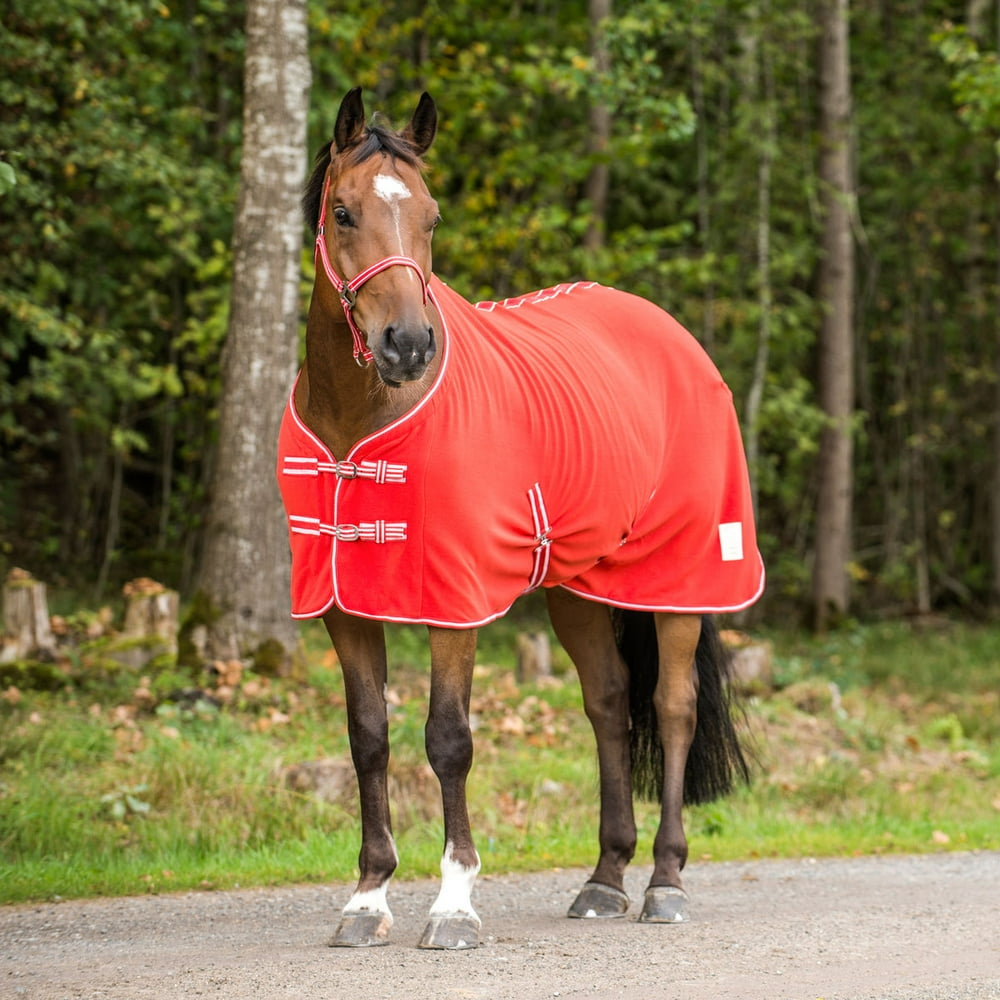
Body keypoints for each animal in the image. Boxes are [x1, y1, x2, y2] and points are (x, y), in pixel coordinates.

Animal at [277, 87, 765, 950]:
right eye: (342, 211)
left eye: (432, 216)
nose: (407, 344)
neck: (359, 419)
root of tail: (674, 335)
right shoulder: (343, 604)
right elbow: (368, 738)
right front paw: (367, 899)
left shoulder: (455, 601)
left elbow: (448, 739)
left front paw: (454, 904)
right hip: (579, 586)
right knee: (608, 703)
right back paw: (605, 879)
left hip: (682, 579)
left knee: (672, 709)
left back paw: (665, 882)